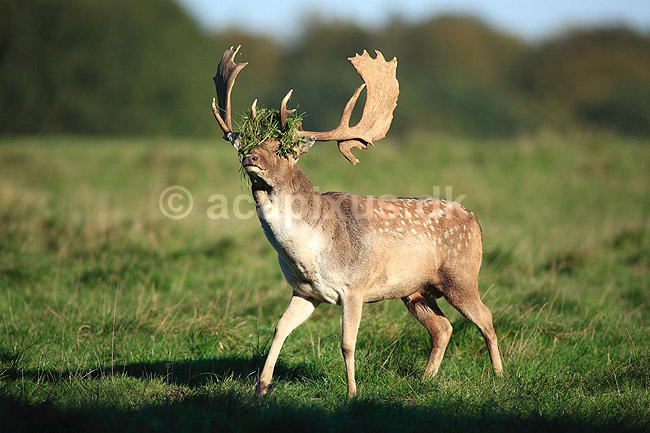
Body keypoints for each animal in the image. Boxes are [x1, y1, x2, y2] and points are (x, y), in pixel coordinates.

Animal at [212, 45, 503, 397]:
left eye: (283, 149)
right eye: (250, 143)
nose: (250, 158)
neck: (310, 253)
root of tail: (476, 220)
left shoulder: (354, 287)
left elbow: (347, 343)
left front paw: (352, 393)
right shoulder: (305, 292)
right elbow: (279, 329)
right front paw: (262, 387)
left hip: (461, 275)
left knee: (486, 317)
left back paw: (500, 376)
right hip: (415, 290)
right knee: (443, 327)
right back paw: (425, 379)